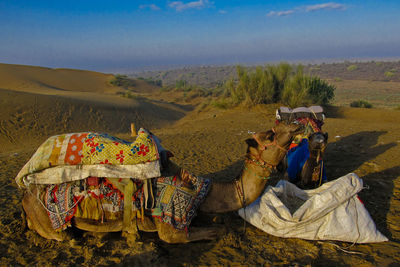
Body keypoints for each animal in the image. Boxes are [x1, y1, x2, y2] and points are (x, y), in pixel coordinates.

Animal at [21, 122, 304, 244]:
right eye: (270, 134)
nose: (295, 125)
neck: (202, 192)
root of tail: (24, 198)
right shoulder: (171, 226)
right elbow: (217, 230)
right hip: (51, 222)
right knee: (66, 237)